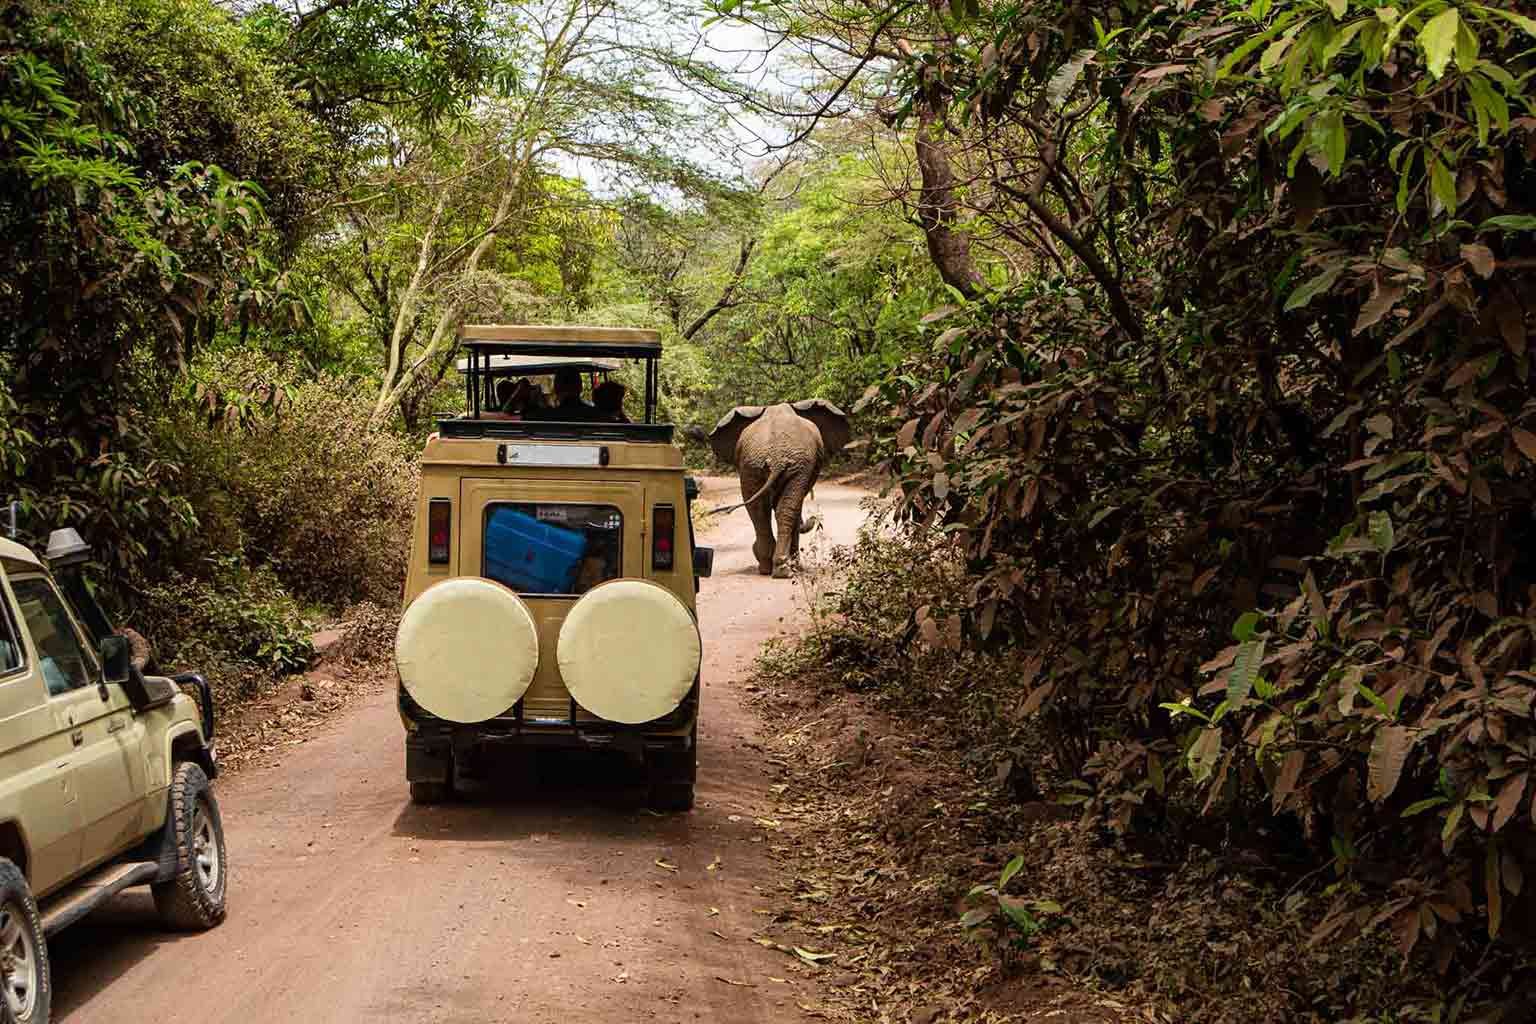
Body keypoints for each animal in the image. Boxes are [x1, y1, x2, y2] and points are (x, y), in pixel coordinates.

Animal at [707, 400, 851, 578]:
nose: (814, 518)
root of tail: (777, 459)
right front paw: (797, 567)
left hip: (753, 465)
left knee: (759, 510)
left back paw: (769, 567)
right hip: (789, 465)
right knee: (782, 509)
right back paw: (783, 569)